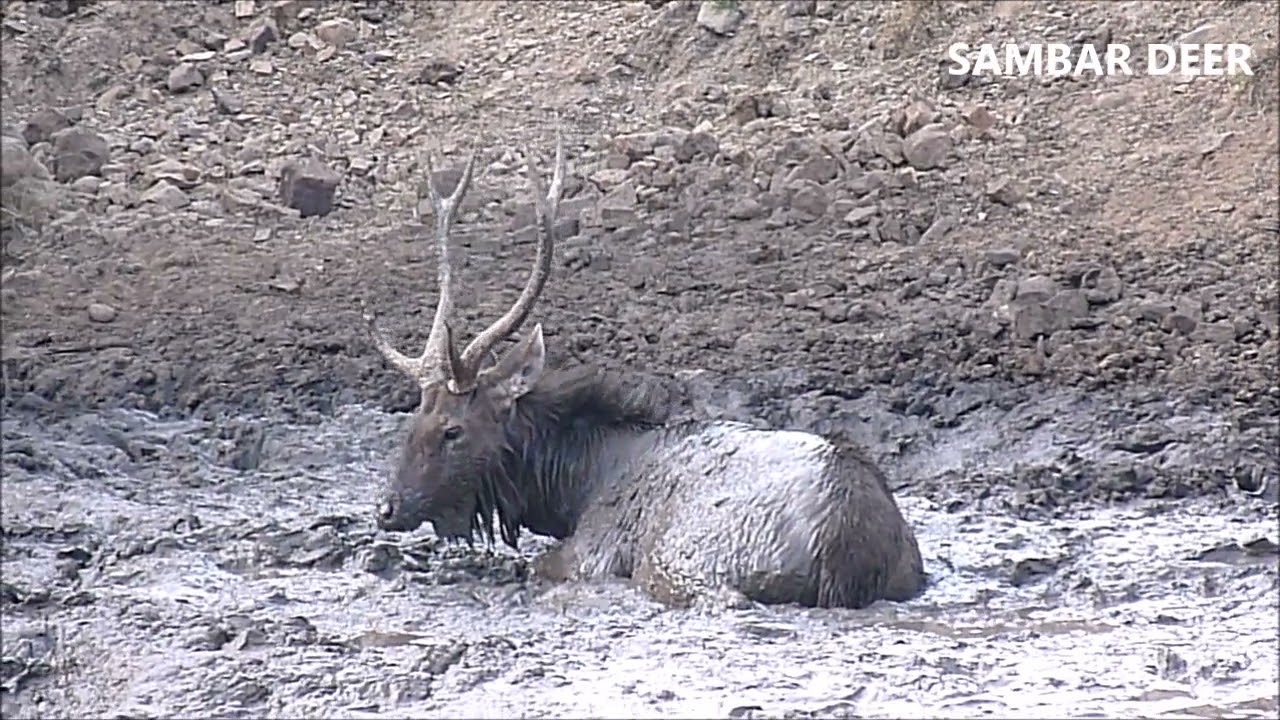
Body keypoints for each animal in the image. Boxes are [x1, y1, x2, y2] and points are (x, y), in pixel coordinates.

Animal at [362, 126, 926, 609]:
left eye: (452, 429)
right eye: (414, 418)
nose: (386, 507)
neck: (573, 490)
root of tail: (845, 544)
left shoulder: (592, 552)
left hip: (683, 559)